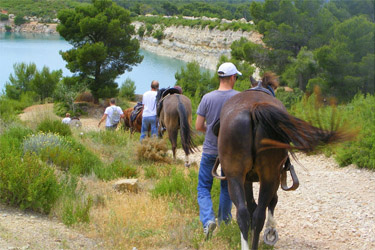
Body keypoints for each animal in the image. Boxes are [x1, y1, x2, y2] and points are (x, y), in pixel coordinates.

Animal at [216, 73, 354, 250]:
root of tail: (254, 109)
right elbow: (269, 202)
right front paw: (271, 231)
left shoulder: (248, 179)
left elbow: (253, 205)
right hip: (265, 177)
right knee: (257, 213)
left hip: (240, 176)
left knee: (246, 214)